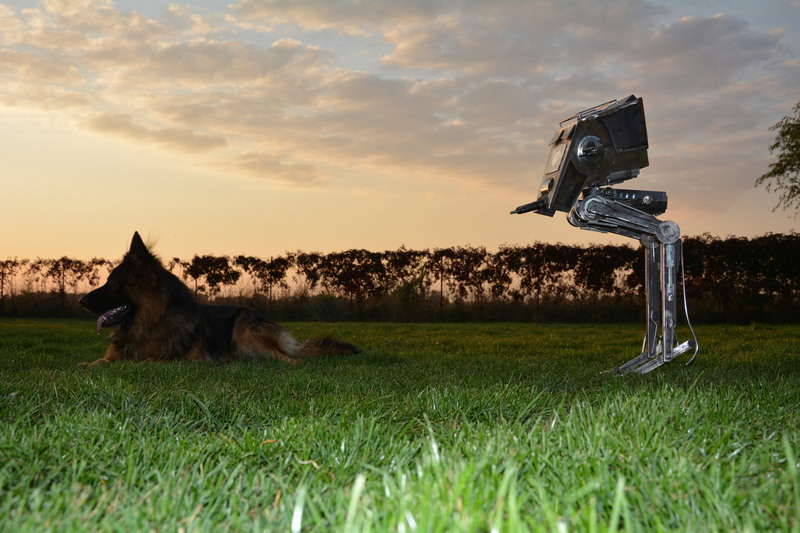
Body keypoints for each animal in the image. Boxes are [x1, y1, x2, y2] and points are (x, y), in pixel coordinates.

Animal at [79, 233, 360, 366]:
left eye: (112, 283)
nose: (81, 301)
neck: (150, 321)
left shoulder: (180, 360)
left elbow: (146, 361)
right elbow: (97, 362)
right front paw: (84, 364)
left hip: (245, 330)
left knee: (292, 360)